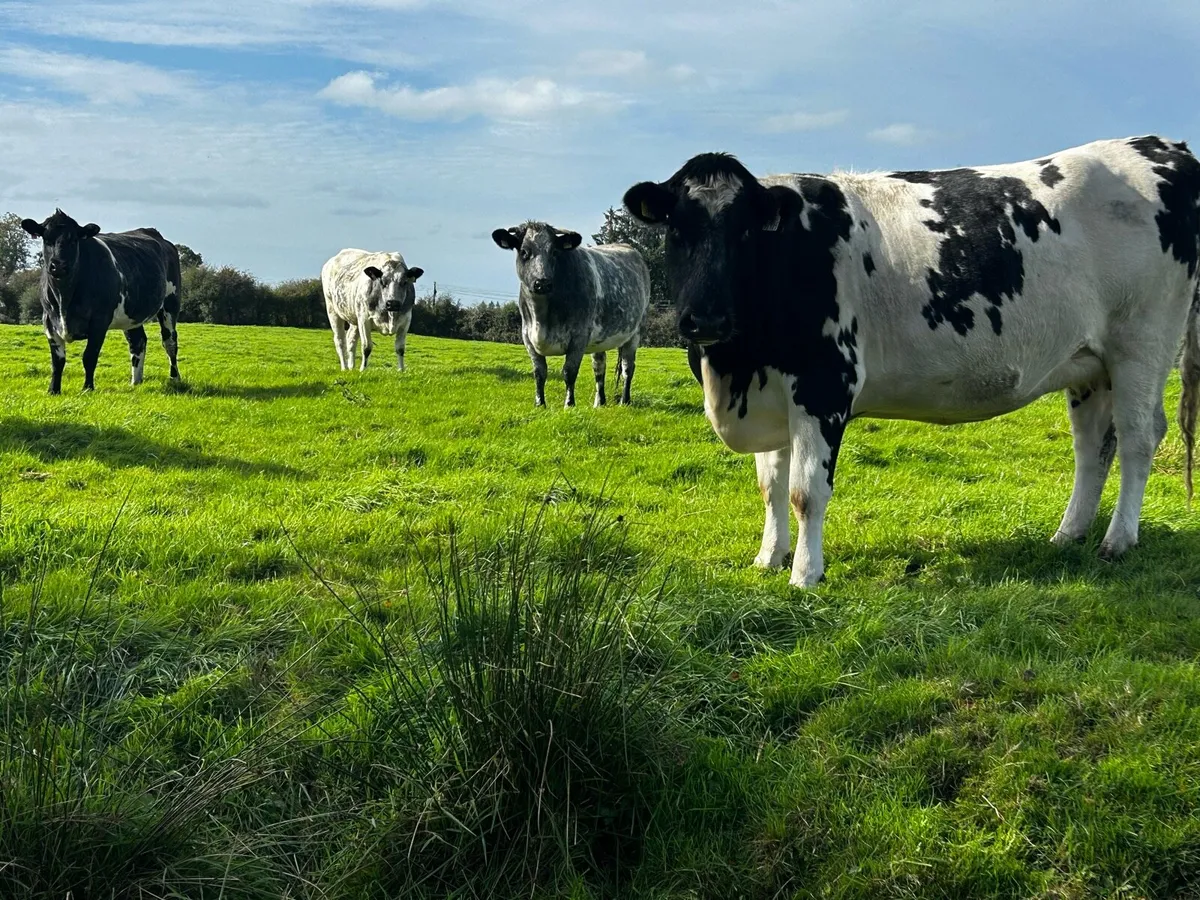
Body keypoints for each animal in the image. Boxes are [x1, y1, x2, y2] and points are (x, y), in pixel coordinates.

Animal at [20, 209, 181, 394]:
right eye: (46, 239)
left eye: (74, 240)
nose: (58, 265)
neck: (64, 299)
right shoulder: (48, 321)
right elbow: (57, 361)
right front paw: (53, 390)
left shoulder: (99, 321)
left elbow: (89, 356)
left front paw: (87, 388)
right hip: (131, 314)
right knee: (138, 342)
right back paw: (135, 382)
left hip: (171, 303)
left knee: (170, 341)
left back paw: (175, 378)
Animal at [492, 221, 650, 407]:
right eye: (524, 251)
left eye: (554, 251)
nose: (542, 283)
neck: (542, 317)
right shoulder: (528, 337)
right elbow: (539, 372)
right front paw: (540, 404)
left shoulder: (578, 337)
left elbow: (569, 372)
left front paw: (569, 404)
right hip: (599, 338)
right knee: (599, 367)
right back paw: (599, 403)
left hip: (635, 333)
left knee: (627, 368)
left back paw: (624, 401)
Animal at [624, 136, 1200, 586]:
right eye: (677, 229)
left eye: (744, 232)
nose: (705, 319)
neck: (736, 368)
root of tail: (1160, 146)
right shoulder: (773, 394)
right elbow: (771, 487)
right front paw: (769, 558)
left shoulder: (824, 383)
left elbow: (805, 490)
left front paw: (805, 575)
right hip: (1090, 363)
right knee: (1093, 446)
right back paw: (1068, 535)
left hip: (1143, 342)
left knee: (1138, 437)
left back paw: (1117, 541)